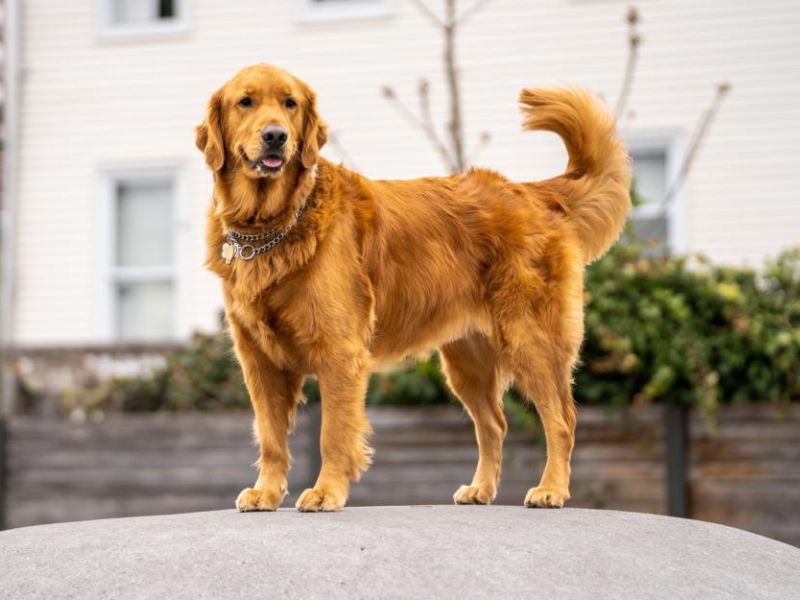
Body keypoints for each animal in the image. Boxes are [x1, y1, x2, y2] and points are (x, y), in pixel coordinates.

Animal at [195, 63, 632, 510]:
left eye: (290, 103)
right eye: (245, 102)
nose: (276, 136)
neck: (271, 226)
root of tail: (530, 191)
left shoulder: (339, 351)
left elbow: (332, 433)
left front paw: (325, 491)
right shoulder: (258, 359)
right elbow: (270, 437)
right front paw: (266, 491)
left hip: (530, 338)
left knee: (561, 419)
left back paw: (551, 488)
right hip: (466, 360)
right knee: (494, 424)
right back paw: (481, 488)